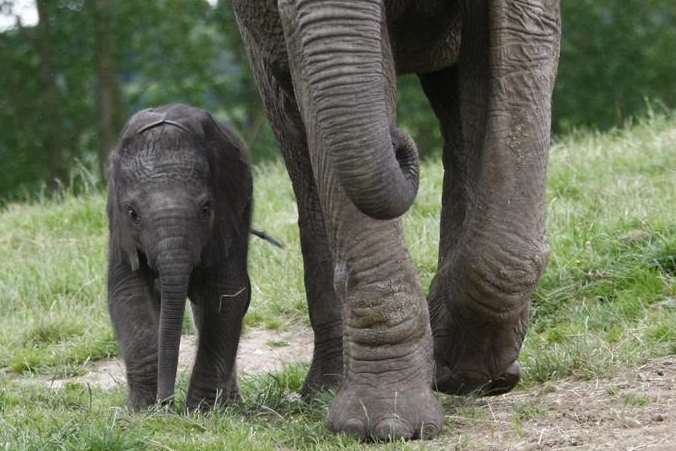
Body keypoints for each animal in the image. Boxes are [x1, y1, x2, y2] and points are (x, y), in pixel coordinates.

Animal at [107, 104, 252, 412]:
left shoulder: (230, 213)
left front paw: (200, 411)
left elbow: (226, 294)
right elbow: (127, 291)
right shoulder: (118, 228)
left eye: (206, 209)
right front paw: (142, 409)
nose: (166, 403)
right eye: (132, 213)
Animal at [232, 0, 560, 442]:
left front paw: (461, 366)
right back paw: (329, 388)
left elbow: (516, 47)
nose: (401, 143)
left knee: (457, 106)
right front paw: (385, 424)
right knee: (294, 124)